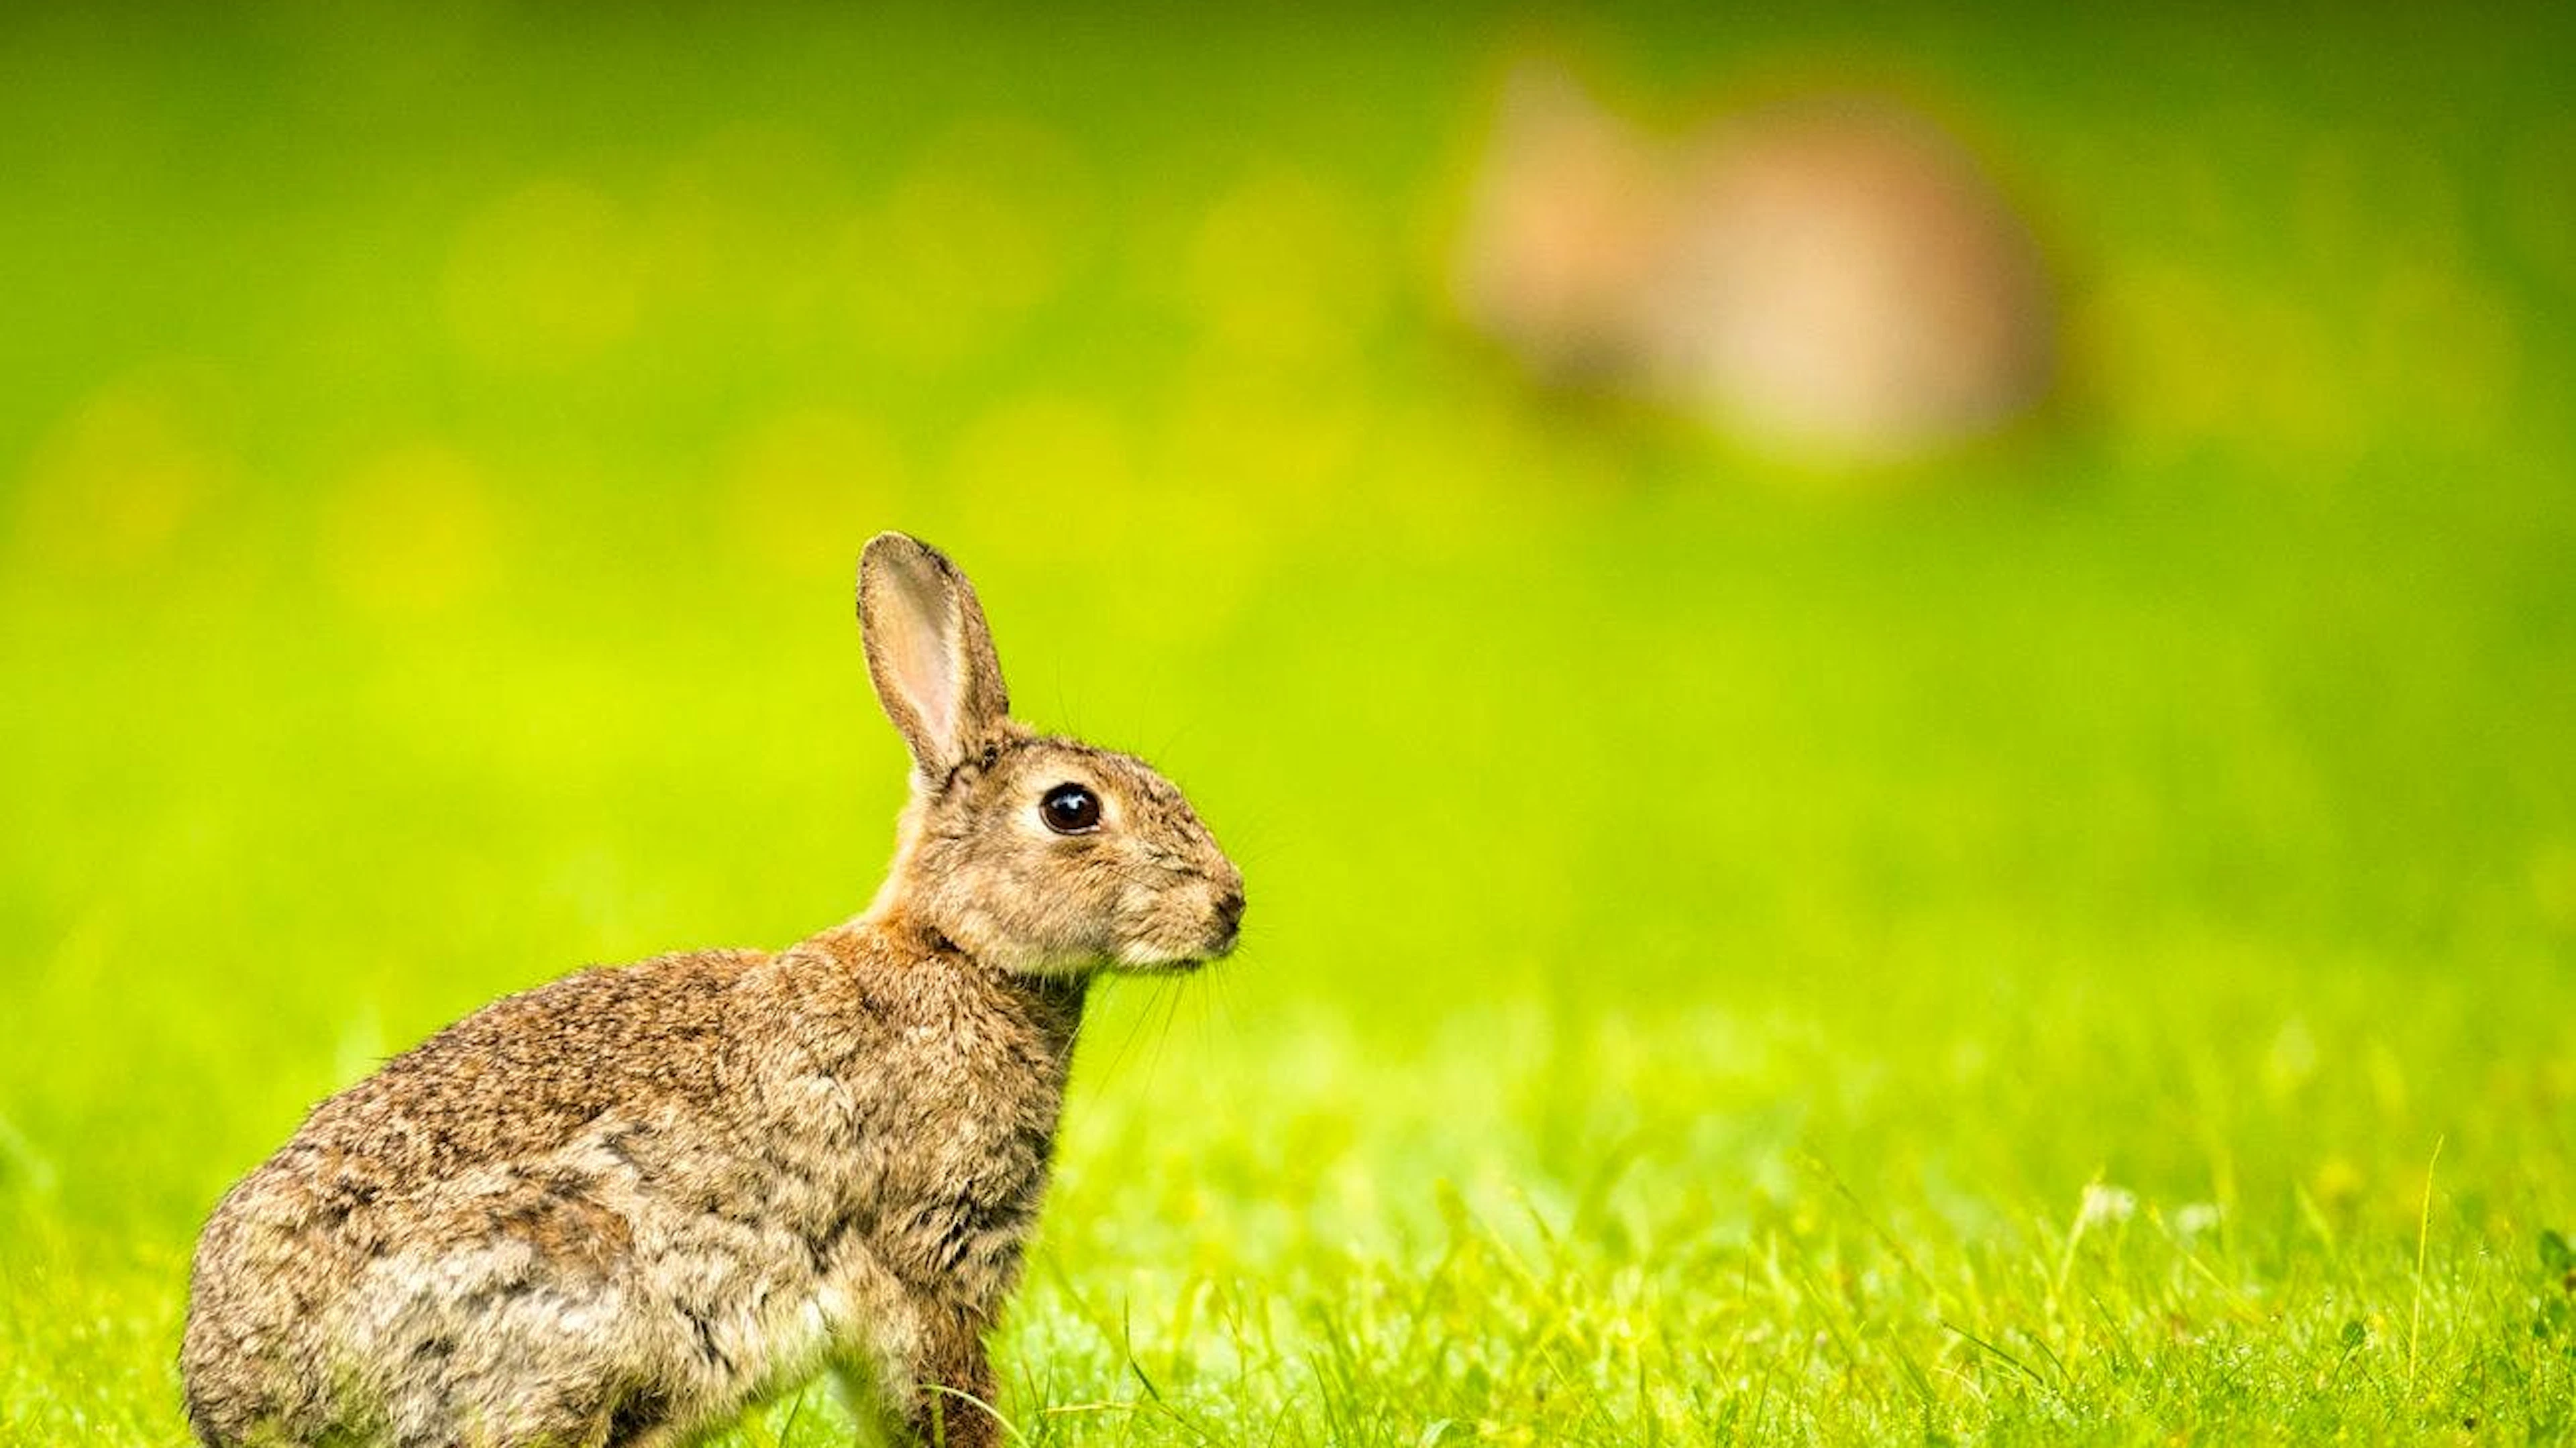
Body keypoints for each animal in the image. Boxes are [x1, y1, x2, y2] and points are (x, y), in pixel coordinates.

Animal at [180, 532, 1247, 1448]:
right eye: (1071, 808)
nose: (1230, 905)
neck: (959, 954)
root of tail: (239, 1398)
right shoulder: (928, 1265)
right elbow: (942, 1396)